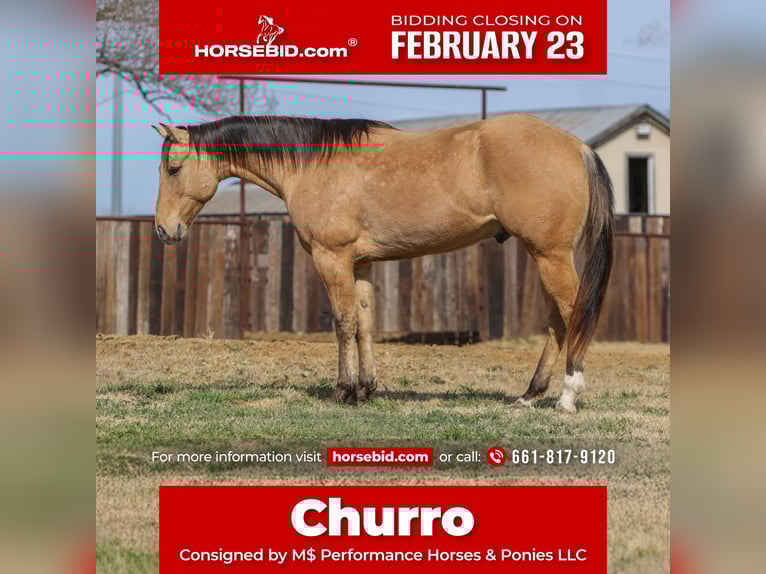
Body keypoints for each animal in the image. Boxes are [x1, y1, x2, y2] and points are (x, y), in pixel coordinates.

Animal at [152, 114, 614, 413]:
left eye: (173, 169)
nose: (163, 230)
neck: (313, 164)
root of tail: (577, 146)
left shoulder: (332, 258)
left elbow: (343, 324)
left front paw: (342, 391)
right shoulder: (361, 264)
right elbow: (365, 325)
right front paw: (366, 390)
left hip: (550, 256)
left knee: (573, 313)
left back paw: (568, 396)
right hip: (544, 256)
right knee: (556, 320)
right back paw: (529, 394)